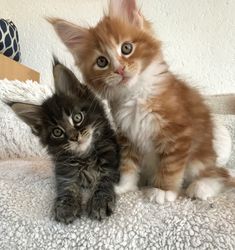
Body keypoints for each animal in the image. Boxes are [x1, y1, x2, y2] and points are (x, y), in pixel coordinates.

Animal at [11, 62, 120, 223]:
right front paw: (66, 206)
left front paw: (99, 201)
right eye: (57, 132)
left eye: (77, 117)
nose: (74, 137)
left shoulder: (111, 162)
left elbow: (105, 181)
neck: (85, 157)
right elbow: (67, 186)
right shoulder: (63, 170)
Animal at [48, 0, 234, 203]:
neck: (135, 95)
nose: (120, 70)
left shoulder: (177, 133)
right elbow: (128, 165)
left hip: (198, 160)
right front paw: (124, 186)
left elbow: (170, 166)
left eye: (126, 48)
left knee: (219, 175)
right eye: (102, 61)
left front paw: (163, 190)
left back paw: (201, 187)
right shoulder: (127, 135)